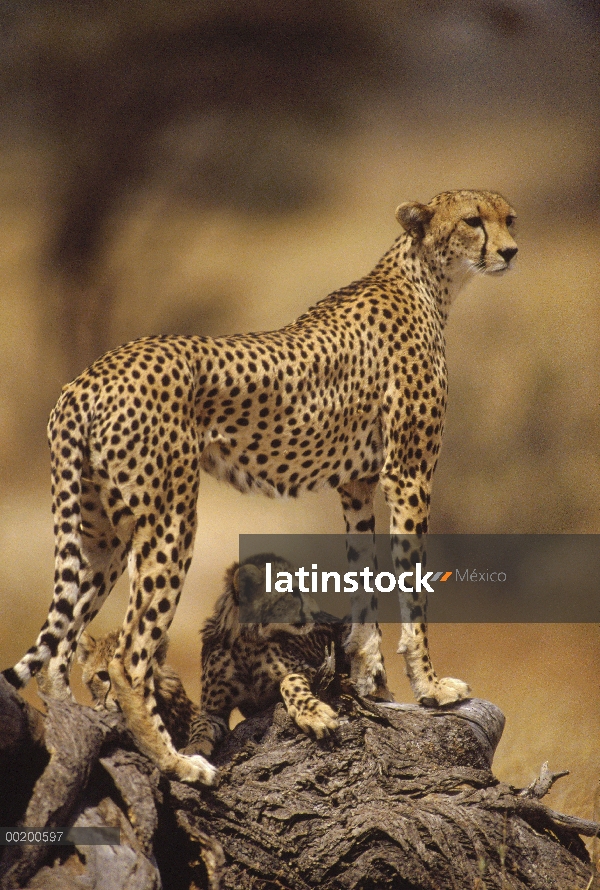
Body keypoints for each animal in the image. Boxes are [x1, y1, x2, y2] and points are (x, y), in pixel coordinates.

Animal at [1, 189, 516, 784]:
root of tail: (84, 379)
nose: (510, 250)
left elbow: (365, 586)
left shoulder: (357, 485)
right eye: (473, 220)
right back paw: (177, 761)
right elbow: (412, 589)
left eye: (509, 218)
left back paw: (78, 736)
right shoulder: (408, 474)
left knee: (60, 649)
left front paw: (373, 686)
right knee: (130, 656)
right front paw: (430, 687)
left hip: (101, 532)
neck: (428, 279)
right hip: (170, 518)